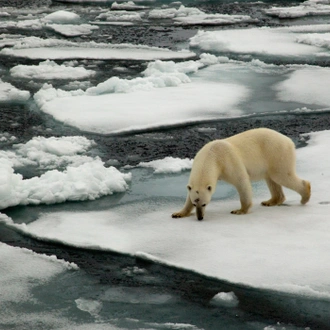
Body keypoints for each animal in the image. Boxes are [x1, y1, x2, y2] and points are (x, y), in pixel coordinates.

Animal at [171, 127, 310, 220]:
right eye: (195, 203)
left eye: (205, 203)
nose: (200, 217)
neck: (211, 155)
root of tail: (288, 140)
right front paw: (178, 213)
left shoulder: (228, 161)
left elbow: (241, 181)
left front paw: (239, 210)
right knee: (272, 180)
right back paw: (270, 201)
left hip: (276, 154)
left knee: (282, 176)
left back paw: (305, 196)